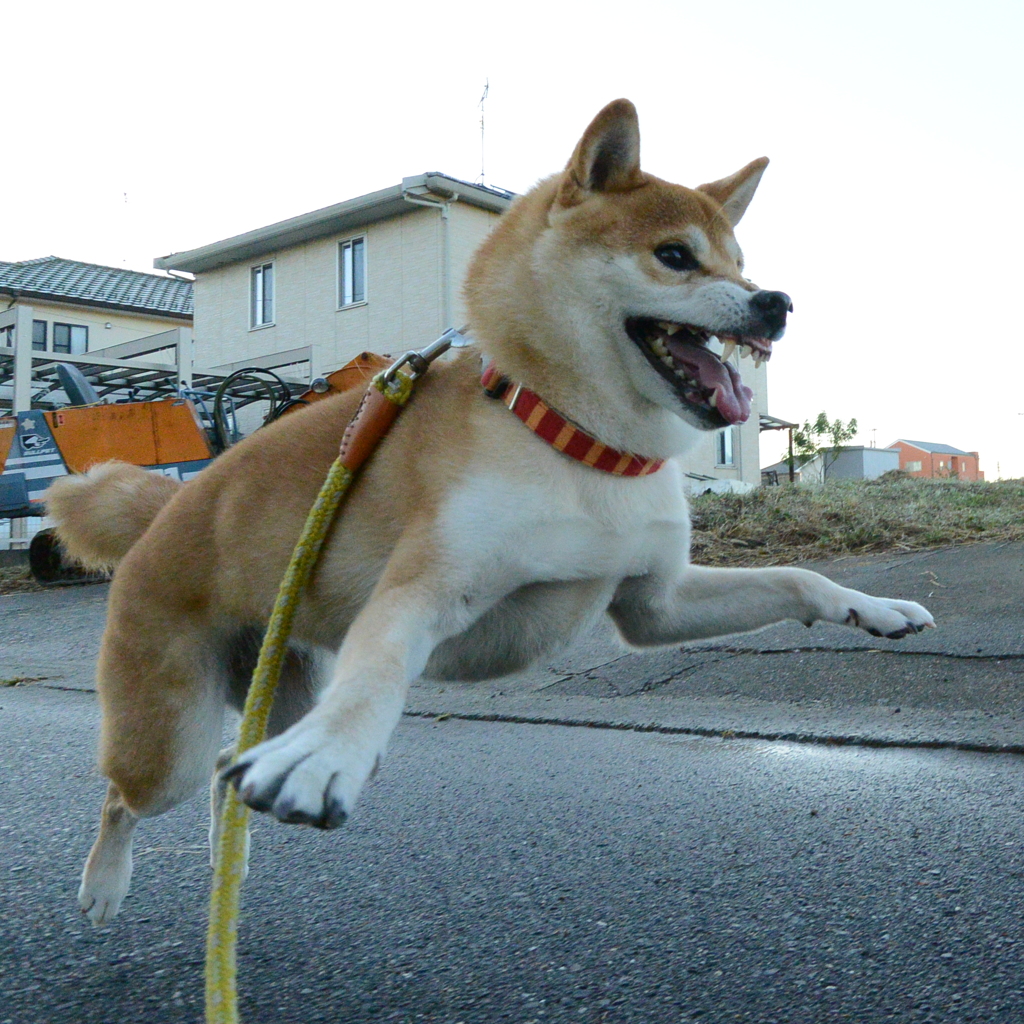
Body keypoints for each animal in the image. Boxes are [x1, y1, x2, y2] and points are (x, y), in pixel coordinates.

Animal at [48, 99, 933, 925]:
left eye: (742, 265)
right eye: (676, 256)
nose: (776, 302)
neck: (578, 442)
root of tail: (171, 505)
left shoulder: (653, 601)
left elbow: (795, 577)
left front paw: (873, 607)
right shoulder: (428, 588)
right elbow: (376, 675)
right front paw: (327, 755)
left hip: (280, 688)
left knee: (226, 776)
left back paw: (225, 850)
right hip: (170, 737)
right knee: (128, 796)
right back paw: (102, 884)